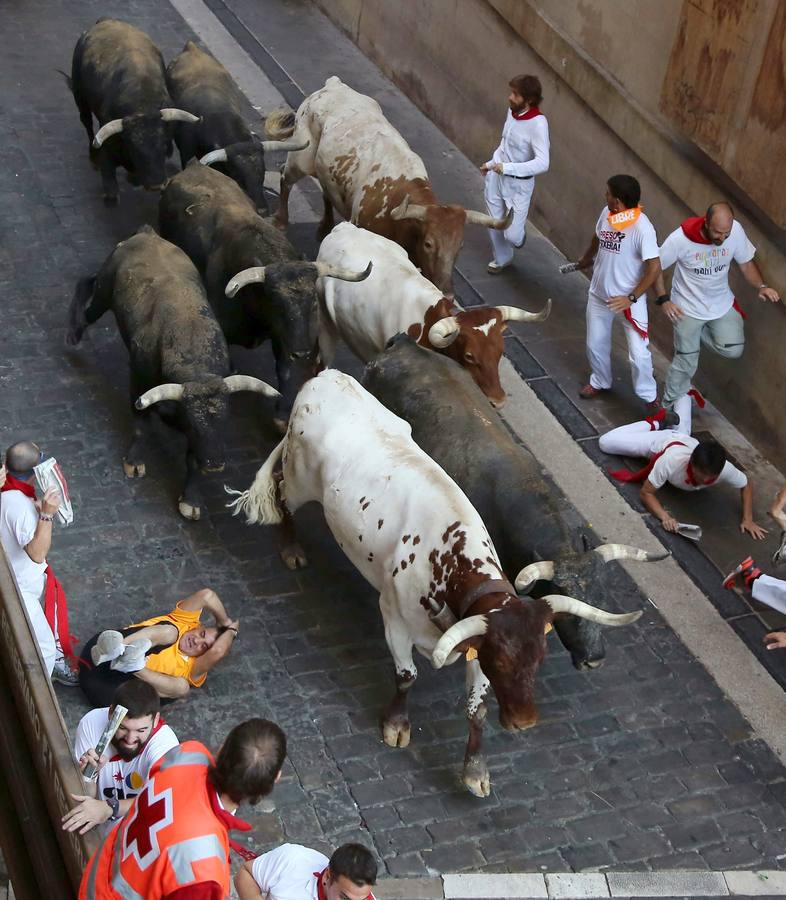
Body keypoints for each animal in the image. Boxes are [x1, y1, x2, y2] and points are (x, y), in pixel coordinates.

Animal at [225, 370, 636, 800]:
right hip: (299, 477)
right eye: (503, 661)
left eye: (539, 658)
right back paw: (291, 548)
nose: (524, 722)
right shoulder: (394, 619)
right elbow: (407, 677)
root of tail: (326, 376)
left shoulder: (474, 639)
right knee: (282, 496)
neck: (449, 563)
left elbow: (477, 709)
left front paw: (475, 769)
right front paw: (396, 724)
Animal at [266, 76, 512, 296]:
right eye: (429, 244)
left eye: (459, 247)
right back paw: (280, 220)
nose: (448, 294)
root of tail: (333, 85)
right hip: (301, 157)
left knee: (326, 191)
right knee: (285, 178)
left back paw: (324, 227)